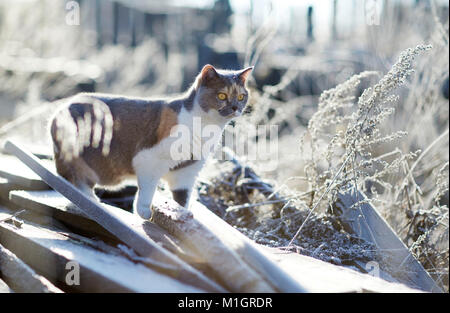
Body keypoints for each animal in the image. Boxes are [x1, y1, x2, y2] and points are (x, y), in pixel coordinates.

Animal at [51, 64, 253, 218]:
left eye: (241, 96)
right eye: (222, 96)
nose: (235, 107)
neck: (206, 128)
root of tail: (60, 108)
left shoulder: (187, 172)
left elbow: (182, 199)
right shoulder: (148, 161)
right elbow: (147, 190)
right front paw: (144, 213)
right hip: (78, 155)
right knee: (74, 181)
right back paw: (90, 202)